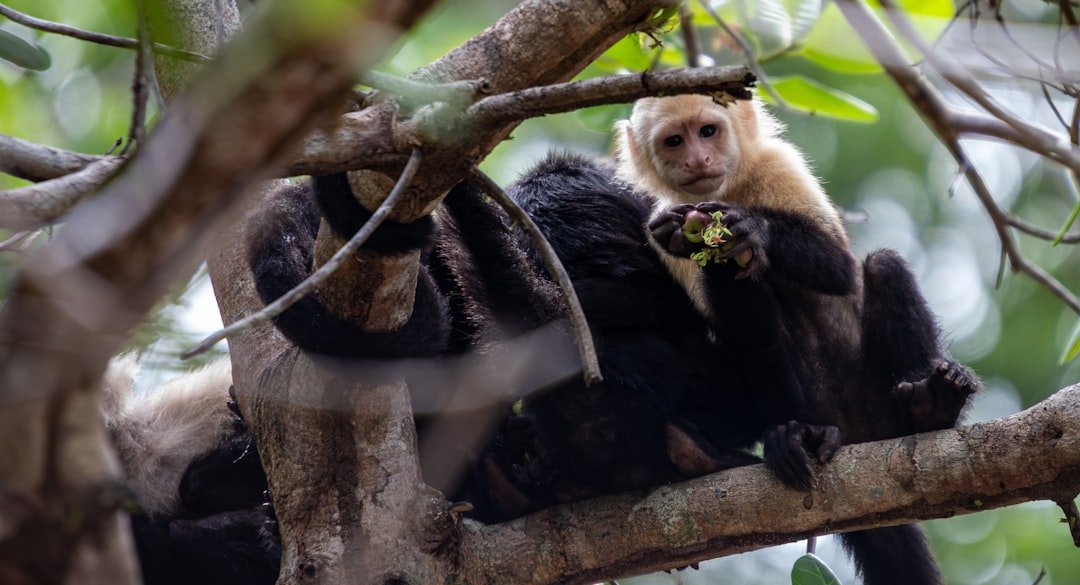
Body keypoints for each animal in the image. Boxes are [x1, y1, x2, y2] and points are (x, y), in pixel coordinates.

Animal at [613, 93, 980, 585]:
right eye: (675, 141)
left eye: (707, 131)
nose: (697, 159)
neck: (730, 188)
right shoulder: (653, 217)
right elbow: (744, 328)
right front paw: (692, 237)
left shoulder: (780, 165)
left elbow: (839, 268)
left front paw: (751, 227)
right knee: (763, 336)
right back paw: (792, 436)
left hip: (881, 404)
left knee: (882, 266)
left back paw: (931, 408)